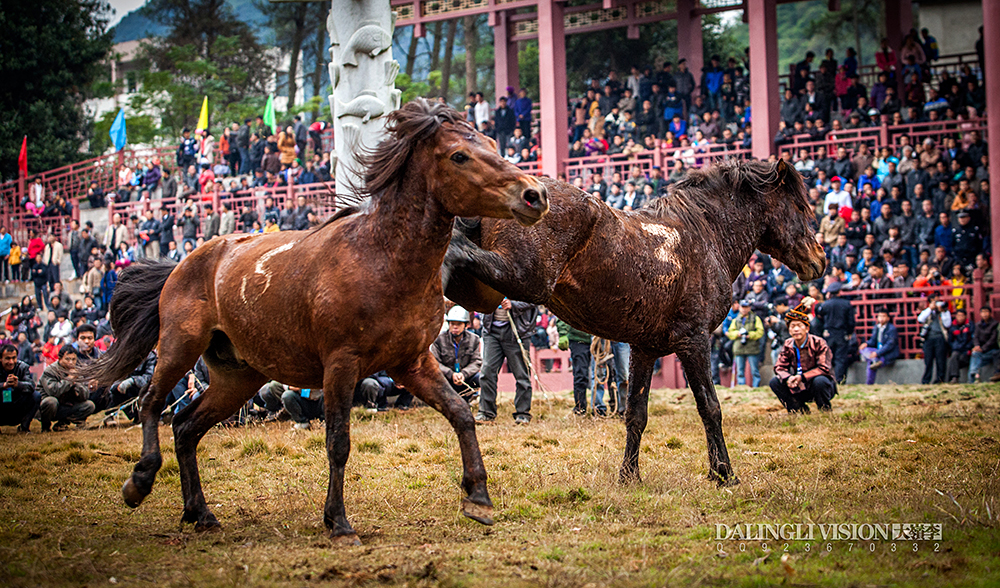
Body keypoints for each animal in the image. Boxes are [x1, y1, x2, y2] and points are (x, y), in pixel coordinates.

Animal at [82, 99, 552, 544]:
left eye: (491, 143)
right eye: (459, 156)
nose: (535, 195)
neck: (383, 259)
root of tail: (182, 263)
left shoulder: (412, 363)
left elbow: (460, 413)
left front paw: (478, 498)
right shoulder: (341, 364)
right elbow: (338, 442)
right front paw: (339, 522)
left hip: (238, 376)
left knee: (185, 426)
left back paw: (201, 514)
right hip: (180, 346)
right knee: (151, 403)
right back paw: (140, 481)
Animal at [442, 158, 824, 484]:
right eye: (799, 207)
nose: (818, 260)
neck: (705, 234)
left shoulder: (644, 349)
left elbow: (635, 413)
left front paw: (629, 476)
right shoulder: (694, 340)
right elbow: (710, 407)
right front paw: (723, 474)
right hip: (524, 278)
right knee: (456, 254)